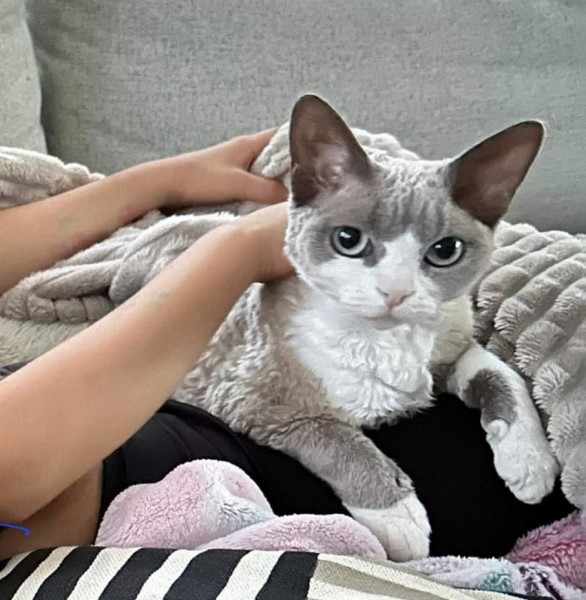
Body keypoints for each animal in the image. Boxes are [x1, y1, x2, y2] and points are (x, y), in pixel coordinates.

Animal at [174, 95, 559, 561]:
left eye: (445, 251)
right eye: (348, 240)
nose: (395, 292)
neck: (387, 343)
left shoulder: (452, 349)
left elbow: (504, 376)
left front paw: (529, 462)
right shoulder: (254, 404)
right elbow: (338, 438)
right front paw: (401, 519)